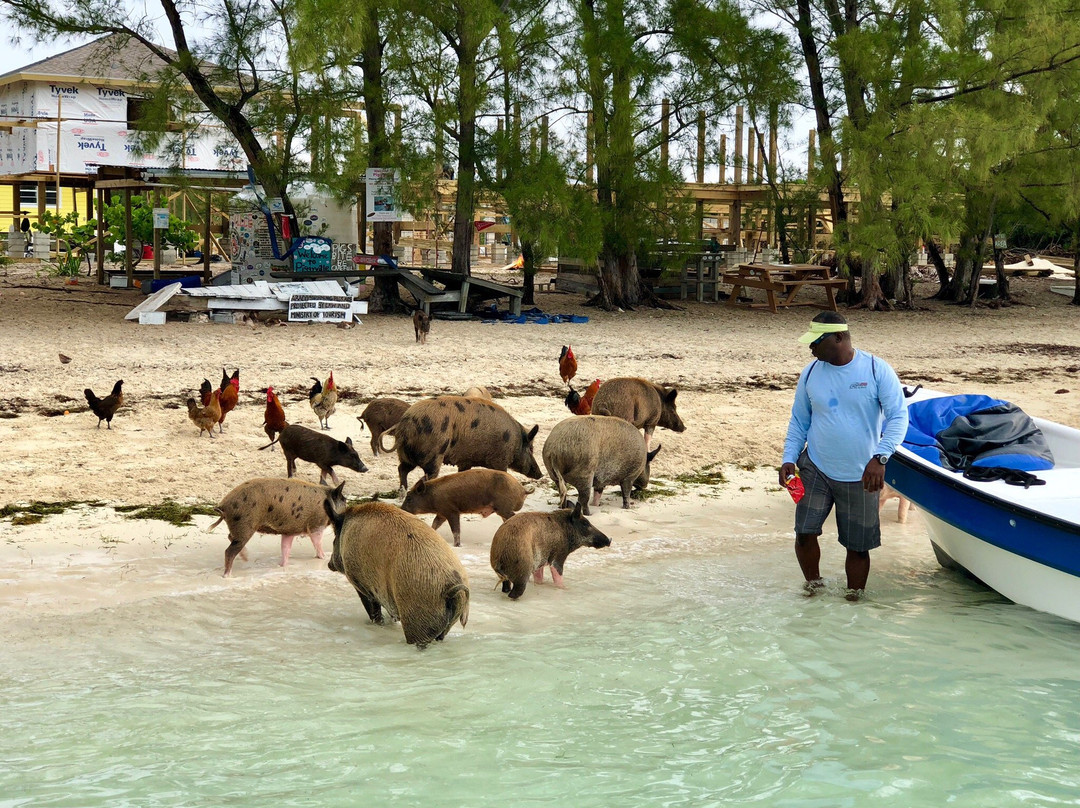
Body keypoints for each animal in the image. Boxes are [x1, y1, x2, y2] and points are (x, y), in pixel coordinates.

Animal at [207, 477, 345, 578]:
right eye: (344, 500)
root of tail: (223, 506)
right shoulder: (317, 524)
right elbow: (317, 542)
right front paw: (323, 557)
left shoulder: (289, 531)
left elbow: (285, 547)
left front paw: (283, 565)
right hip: (244, 526)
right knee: (229, 551)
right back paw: (227, 576)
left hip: (238, 528)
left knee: (230, 537)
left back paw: (245, 558)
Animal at [321, 499, 470, 648]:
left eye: (334, 539)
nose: (329, 564)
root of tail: (453, 586)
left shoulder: (360, 583)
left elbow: (373, 608)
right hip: (447, 623)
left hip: (418, 617)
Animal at [384, 395, 544, 494]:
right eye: (531, 448)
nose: (541, 474)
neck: (515, 439)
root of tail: (405, 426)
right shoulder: (500, 460)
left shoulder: (466, 461)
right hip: (433, 455)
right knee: (427, 476)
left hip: (406, 455)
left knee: (402, 469)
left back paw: (402, 491)